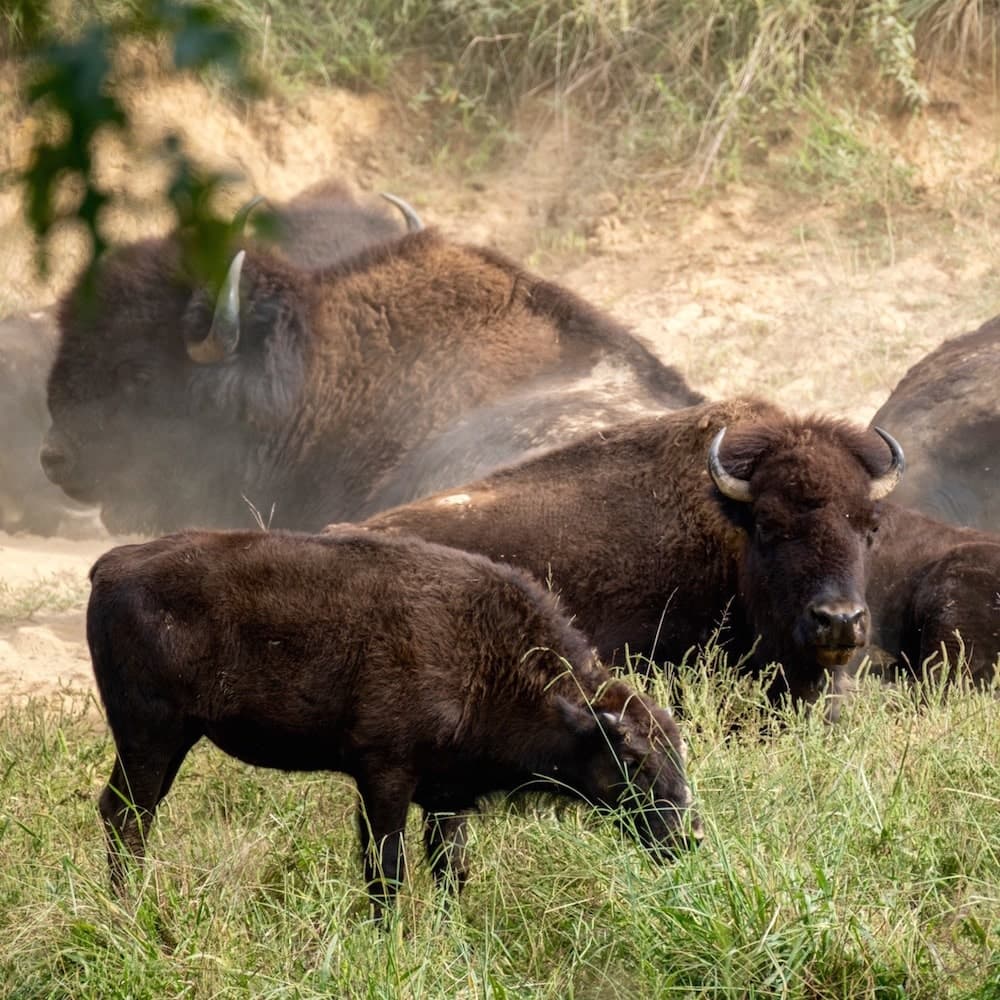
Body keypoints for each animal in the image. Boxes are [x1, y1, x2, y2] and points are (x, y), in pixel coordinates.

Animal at [87, 528, 700, 915]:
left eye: (678, 752)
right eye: (632, 758)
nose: (687, 837)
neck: (488, 657)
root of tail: (109, 566)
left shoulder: (447, 797)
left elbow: (451, 872)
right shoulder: (384, 776)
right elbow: (386, 870)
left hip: (172, 740)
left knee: (124, 812)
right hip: (150, 736)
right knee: (129, 817)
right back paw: (128, 913)